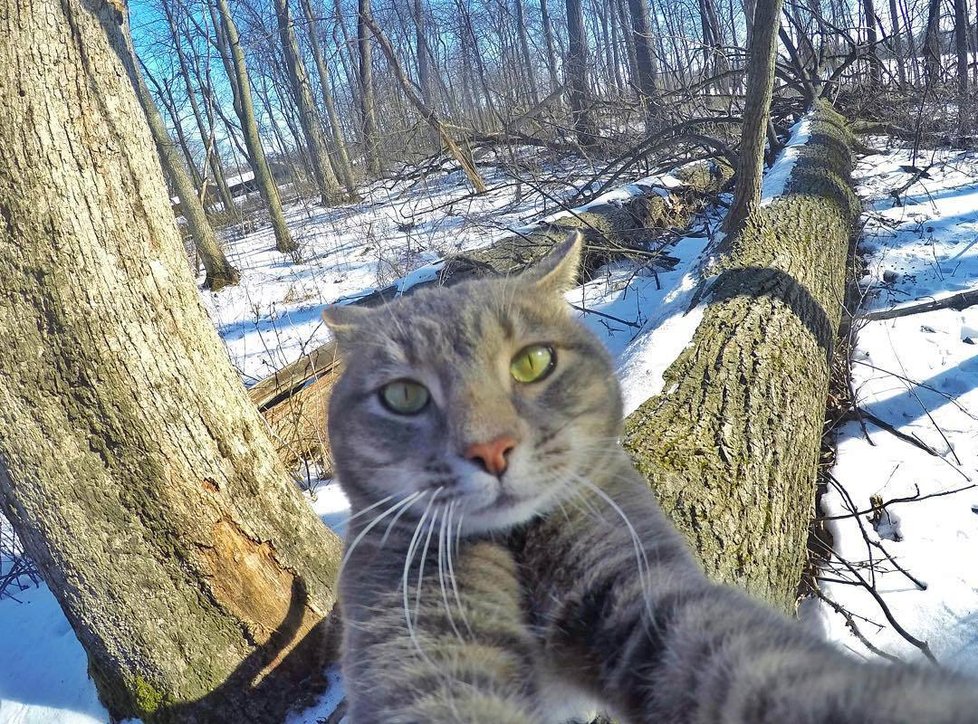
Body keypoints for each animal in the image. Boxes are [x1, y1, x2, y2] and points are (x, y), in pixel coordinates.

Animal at [324, 233, 976, 724]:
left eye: (532, 362)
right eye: (404, 396)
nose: (490, 448)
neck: (517, 542)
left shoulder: (630, 574)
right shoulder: (413, 618)